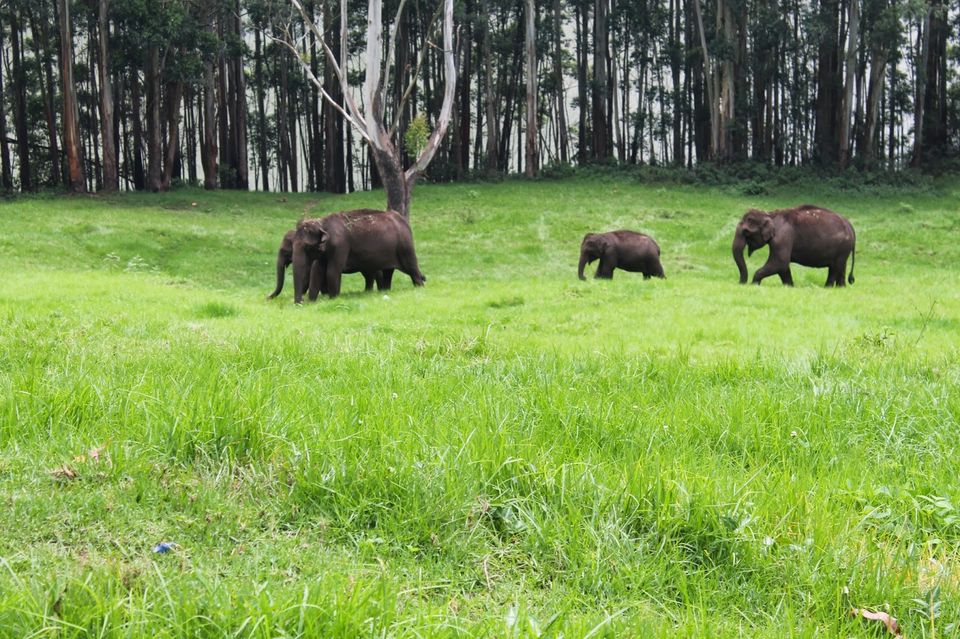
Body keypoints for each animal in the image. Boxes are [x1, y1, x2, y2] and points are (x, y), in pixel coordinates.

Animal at [290, 208, 426, 302]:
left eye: (307, 246)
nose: (299, 303)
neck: (322, 223)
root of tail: (402, 219)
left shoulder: (340, 246)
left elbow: (332, 271)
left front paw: (333, 299)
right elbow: (317, 271)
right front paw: (312, 302)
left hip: (405, 245)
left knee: (412, 268)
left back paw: (419, 287)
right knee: (388, 272)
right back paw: (384, 291)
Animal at [732, 205, 860, 288]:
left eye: (746, 232)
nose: (741, 283)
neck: (770, 214)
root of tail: (851, 227)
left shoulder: (782, 237)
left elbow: (780, 263)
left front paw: (754, 284)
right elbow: (783, 267)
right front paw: (790, 287)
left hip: (843, 247)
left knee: (836, 267)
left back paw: (829, 288)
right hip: (843, 249)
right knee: (839, 267)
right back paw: (839, 288)